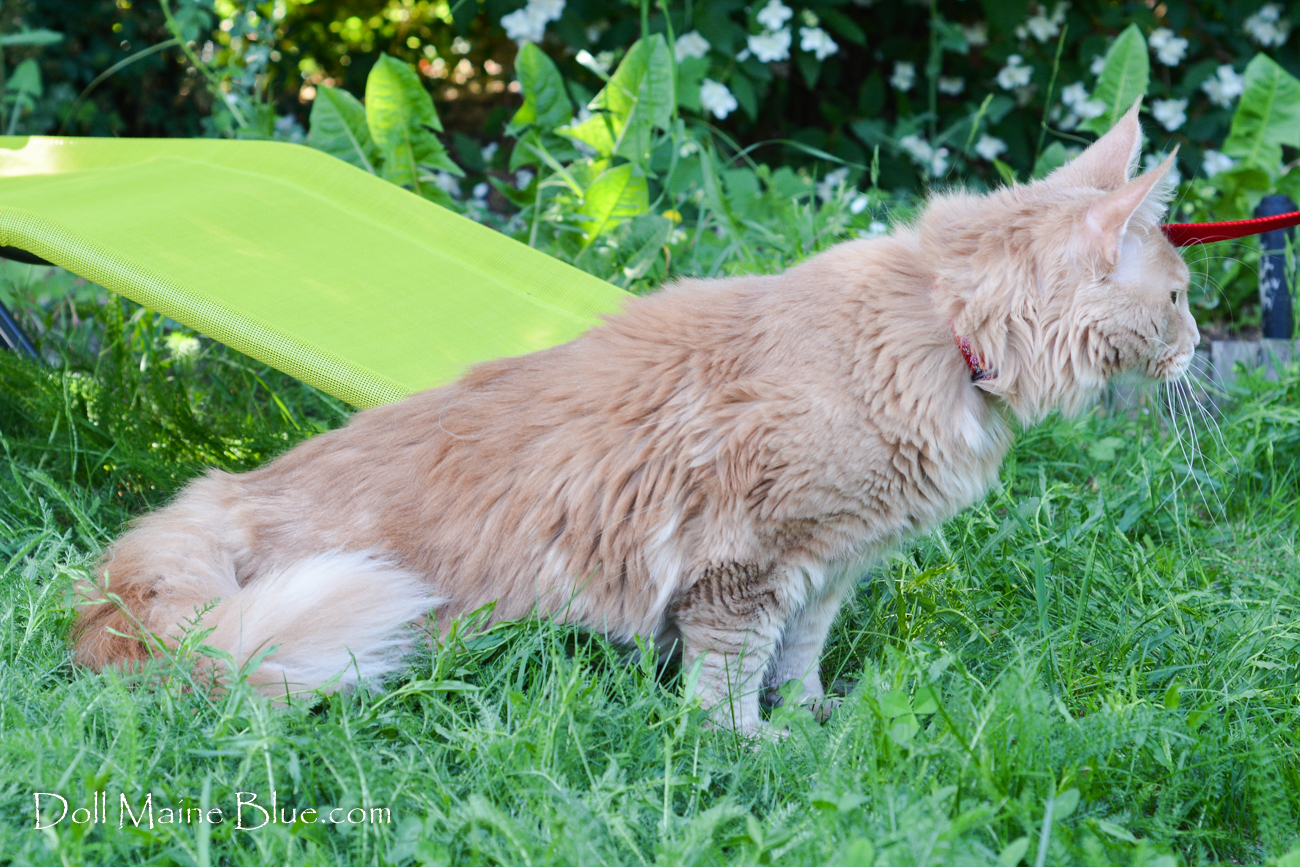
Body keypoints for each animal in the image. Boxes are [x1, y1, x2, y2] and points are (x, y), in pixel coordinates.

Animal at [73, 103, 1198, 734]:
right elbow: (728, 676)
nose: (1199, 346)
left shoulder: (832, 562)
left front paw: (819, 717)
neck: (940, 331)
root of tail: (204, 505)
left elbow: (802, 656)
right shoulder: (745, 562)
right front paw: (751, 745)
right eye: (1184, 296)